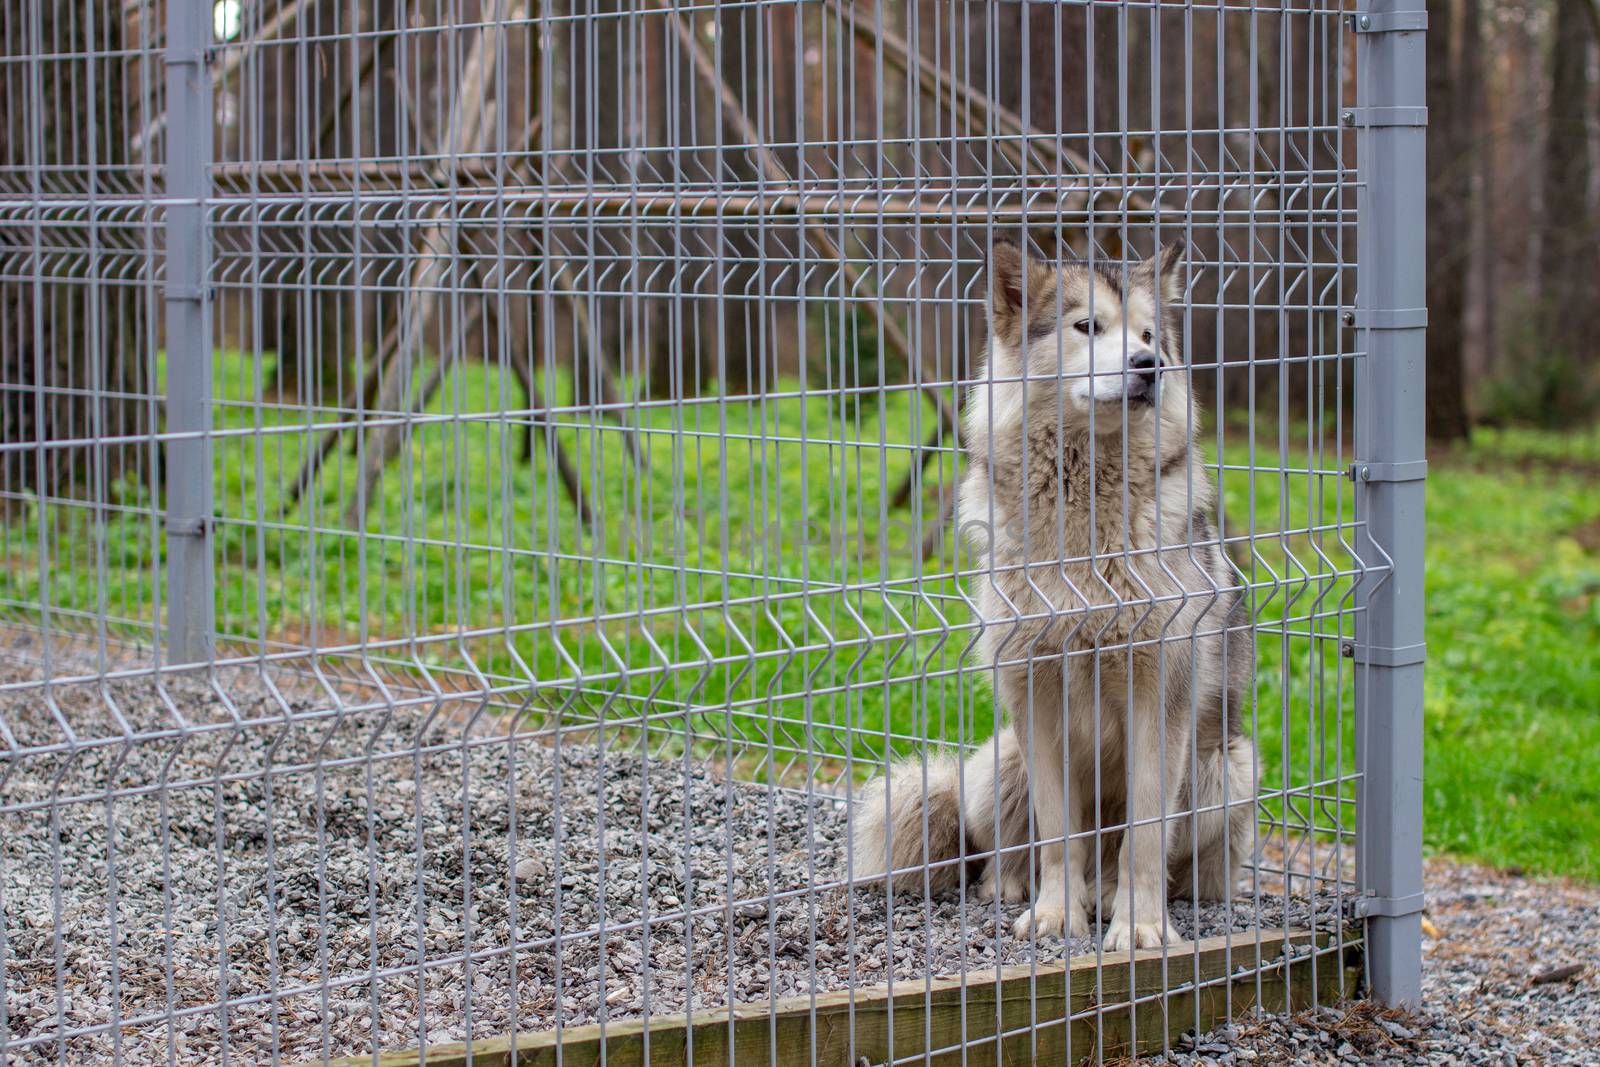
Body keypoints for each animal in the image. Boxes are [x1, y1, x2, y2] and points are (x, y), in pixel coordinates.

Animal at [857, 239, 1254, 953]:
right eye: (1087, 327)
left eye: (1149, 336)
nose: (1149, 368)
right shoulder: (1036, 695)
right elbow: (1058, 834)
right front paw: (1052, 917)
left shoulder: (1160, 699)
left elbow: (1144, 839)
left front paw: (1141, 929)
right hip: (1001, 758)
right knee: (1006, 851)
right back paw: (1021, 888)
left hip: (1223, 769)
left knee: (1177, 869)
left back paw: (1124, 899)